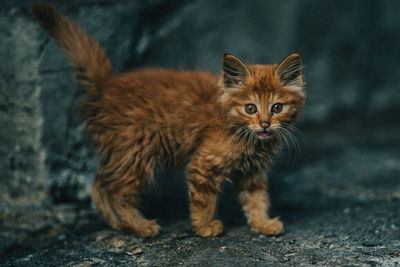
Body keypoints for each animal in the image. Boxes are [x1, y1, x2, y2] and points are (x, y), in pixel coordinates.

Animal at [32, 1, 306, 237]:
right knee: (117, 191)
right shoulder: (203, 164)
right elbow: (203, 200)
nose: (265, 124)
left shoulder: (252, 172)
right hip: (136, 149)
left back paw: (117, 224)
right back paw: (139, 226)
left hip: (121, 151)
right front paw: (204, 226)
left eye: (276, 108)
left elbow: (256, 199)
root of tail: (106, 84)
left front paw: (262, 223)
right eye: (250, 108)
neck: (247, 137)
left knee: (100, 183)